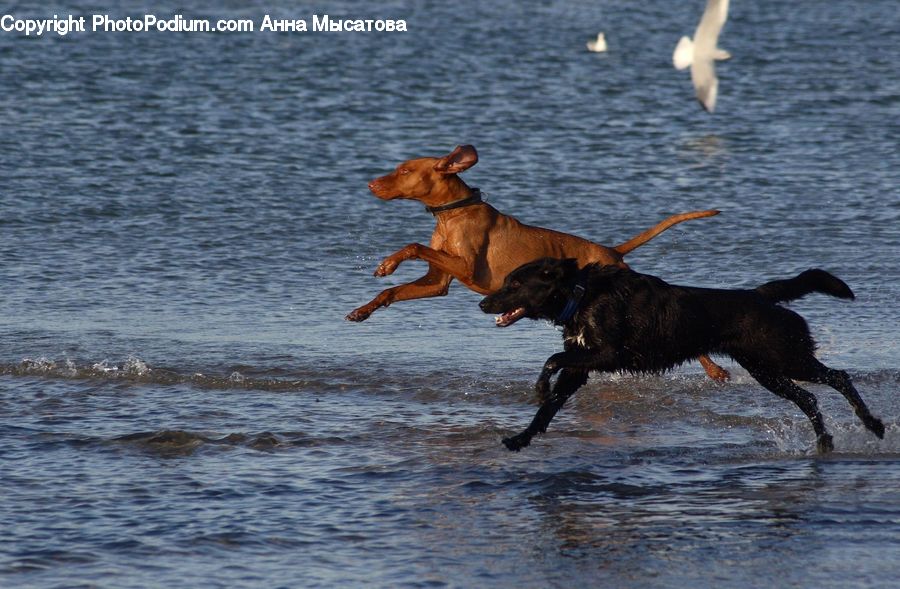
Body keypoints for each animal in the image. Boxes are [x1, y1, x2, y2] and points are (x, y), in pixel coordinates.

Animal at [344, 145, 732, 378]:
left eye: (404, 171)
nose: (370, 183)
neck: (453, 214)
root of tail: (612, 251)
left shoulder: (466, 268)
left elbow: (412, 246)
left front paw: (388, 263)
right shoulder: (438, 283)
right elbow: (392, 292)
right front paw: (363, 309)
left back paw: (714, 370)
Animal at [482, 255, 884, 452]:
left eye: (515, 284)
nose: (483, 303)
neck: (581, 295)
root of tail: (760, 296)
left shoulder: (609, 355)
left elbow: (551, 360)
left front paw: (538, 386)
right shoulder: (579, 369)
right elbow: (547, 409)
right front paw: (521, 439)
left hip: (786, 357)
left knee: (838, 377)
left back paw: (873, 424)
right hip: (766, 370)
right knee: (809, 398)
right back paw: (825, 441)